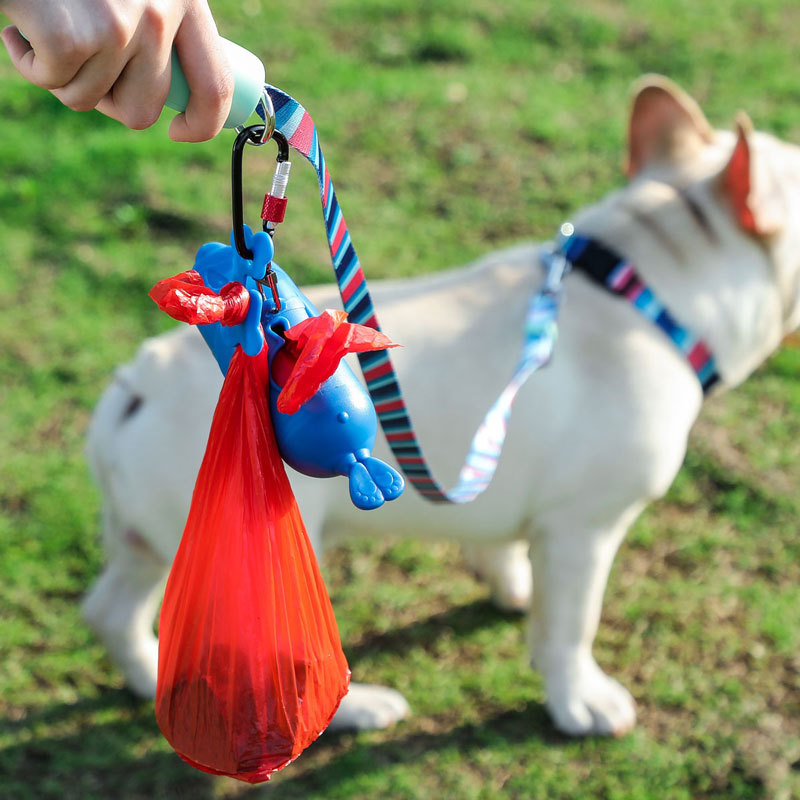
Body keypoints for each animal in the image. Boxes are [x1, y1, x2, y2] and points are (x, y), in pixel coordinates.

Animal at [81, 76, 800, 736]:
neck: (645, 286)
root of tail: (137, 382)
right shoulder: (586, 529)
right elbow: (571, 625)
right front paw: (580, 700)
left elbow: (500, 544)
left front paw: (511, 586)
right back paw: (356, 709)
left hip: (146, 538)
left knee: (115, 611)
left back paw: (146, 678)